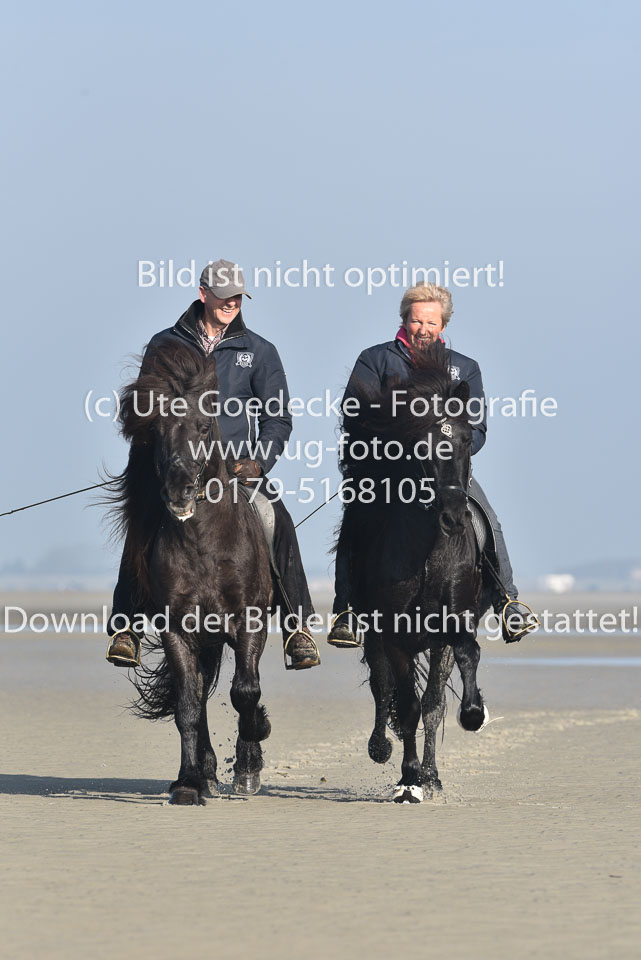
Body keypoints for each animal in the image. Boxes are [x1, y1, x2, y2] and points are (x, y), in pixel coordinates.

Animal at [107, 343, 273, 805]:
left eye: (202, 427)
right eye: (158, 430)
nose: (179, 489)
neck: (204, 545)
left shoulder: (248, 623)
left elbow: (245, 692)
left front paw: (253, 750)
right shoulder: (178, 630)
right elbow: (187, 706)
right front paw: (188, 782)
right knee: (198, 696)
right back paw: (208, 772)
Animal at [336, 340, 491, 803]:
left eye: (465, 439)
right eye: (423, 445)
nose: (454, 516)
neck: (427, 553)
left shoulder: (452, 623)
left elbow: (445, 688)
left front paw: (473, 714)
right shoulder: (393, 633)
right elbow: (403, 703)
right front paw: (407, 778)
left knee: (428, 700)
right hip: (373, 634)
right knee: (383, 689)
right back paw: (382, 749)